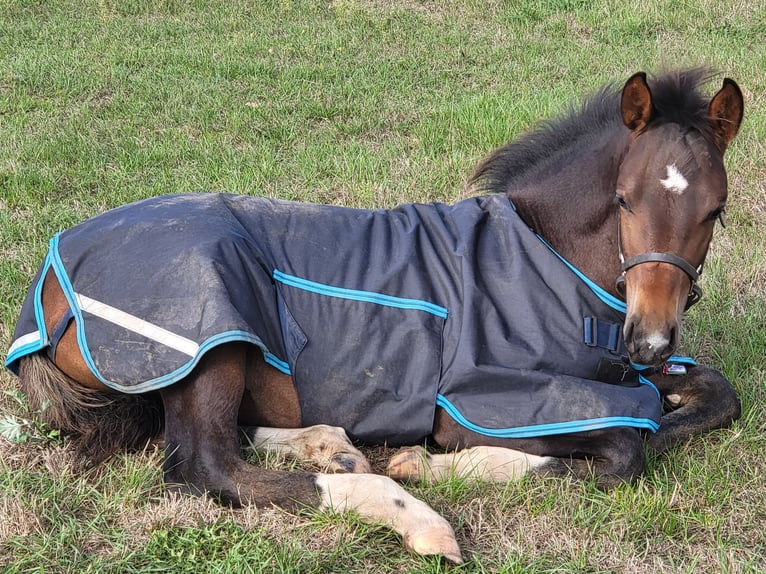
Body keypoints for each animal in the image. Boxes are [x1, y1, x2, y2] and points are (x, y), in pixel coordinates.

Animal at [4, 70, 744, 564]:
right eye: (623, 199)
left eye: (716, 210)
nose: (649, 339)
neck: (545, 255)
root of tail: (50, 282)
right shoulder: (489, 399)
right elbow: (625, 448)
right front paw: (428, 465)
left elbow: (713, 396)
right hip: (208, 338)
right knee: (208, 466)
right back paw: (411, 514)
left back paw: (330, 443)